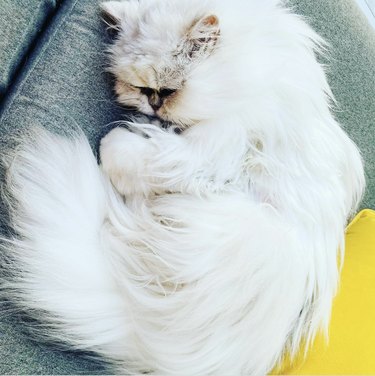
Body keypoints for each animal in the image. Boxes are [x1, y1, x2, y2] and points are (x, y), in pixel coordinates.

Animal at [0, 0, 366, 374]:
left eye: (169, 90)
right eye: (140, 87)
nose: (152, 104)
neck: (249, 72)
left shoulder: (208, 153)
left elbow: (128, 153)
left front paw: (116, 141)